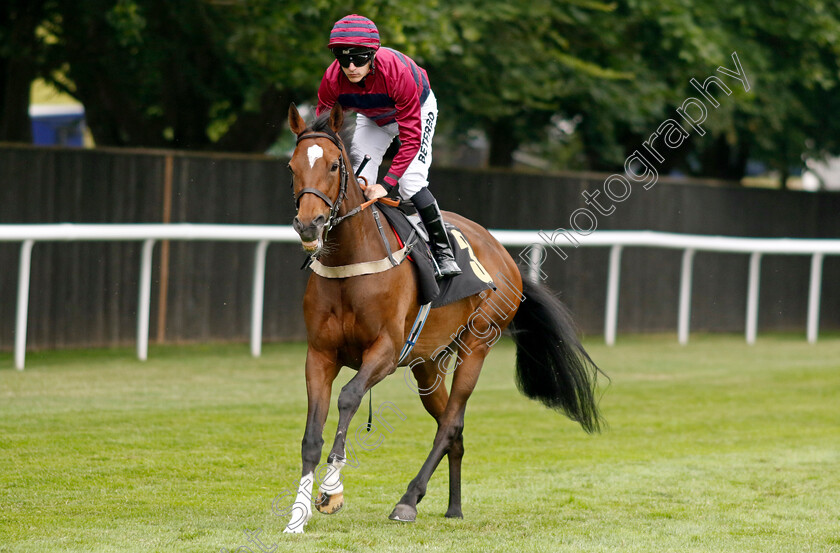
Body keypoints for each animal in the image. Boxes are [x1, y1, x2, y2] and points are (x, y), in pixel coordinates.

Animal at [284, 102, 604, 532]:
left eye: (335, 165)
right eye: (292, 166)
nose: (309, 224)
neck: (350, 263)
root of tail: (505, 257)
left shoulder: (385, 352)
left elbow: (349, 397)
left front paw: (332, 490)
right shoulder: (319, 354)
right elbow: (310, 435)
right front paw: (296, 516)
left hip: (477, 346)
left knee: (451, 423)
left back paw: (407, 500)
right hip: (429, 364)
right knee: (451, 427)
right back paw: (453, 506)